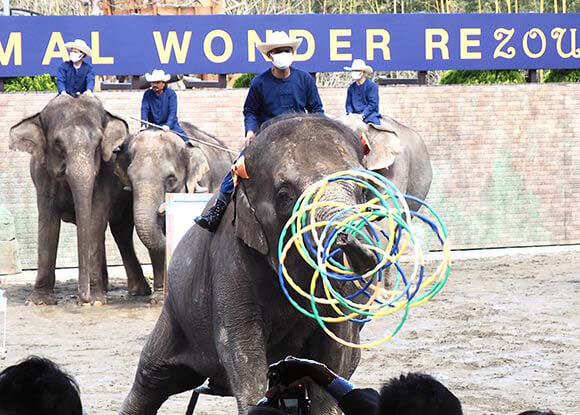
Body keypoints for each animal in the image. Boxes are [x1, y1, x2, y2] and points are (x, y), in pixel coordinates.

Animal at [9, 95, 150, 306]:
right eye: (58, 144)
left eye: (99, 143)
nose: (83, 298)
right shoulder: (42, 175)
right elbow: (48, 222)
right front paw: (38, 301)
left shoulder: (106, 172)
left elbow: (95, 219)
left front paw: (96, 301)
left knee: (120, 230)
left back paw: (136, 291)